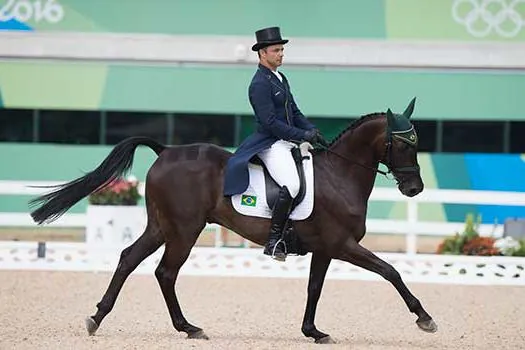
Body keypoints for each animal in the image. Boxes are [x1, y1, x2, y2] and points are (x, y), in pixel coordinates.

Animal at [29, 98, 438, 344]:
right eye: (405, 144)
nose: (415, 187)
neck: (340, 175)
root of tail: (166, 151)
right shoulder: (343, 245)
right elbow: (391, 271)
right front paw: (424, 318)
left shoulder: (325, 249)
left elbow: (314, 289)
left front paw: (313, 331)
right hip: (184, 229)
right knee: (165, 272)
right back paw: (188, 327)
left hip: (161, 226)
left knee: (129, 259)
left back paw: (98, 317)